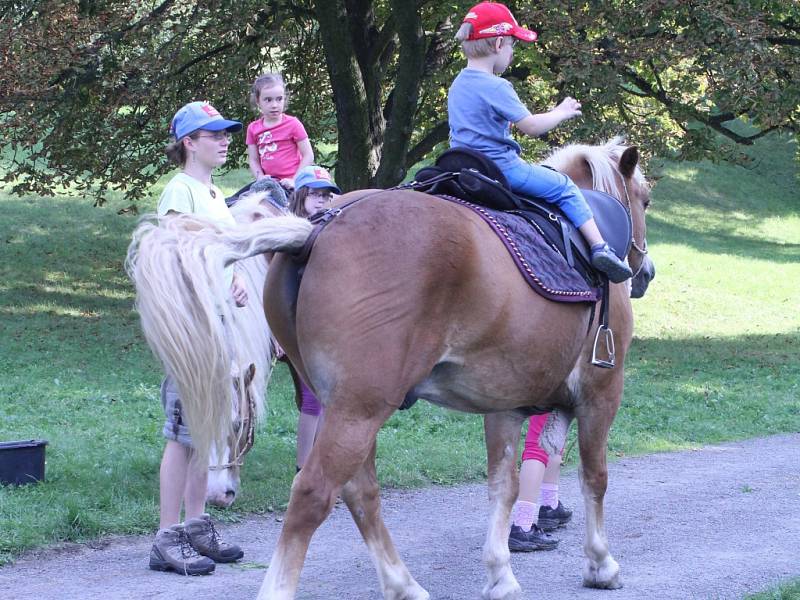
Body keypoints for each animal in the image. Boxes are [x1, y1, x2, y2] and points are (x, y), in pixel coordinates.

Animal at [130, 137, 656, 600]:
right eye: (646, 198)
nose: (645, 272)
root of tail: (314, 230)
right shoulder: (601, 392)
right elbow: (594, 477)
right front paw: (600, 563)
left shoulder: (505, 406)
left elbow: (502, 488)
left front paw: (500, 575)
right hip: (359, 410)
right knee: (314, 493)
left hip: (346, 407)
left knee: (360, 491)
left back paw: (402, 584)